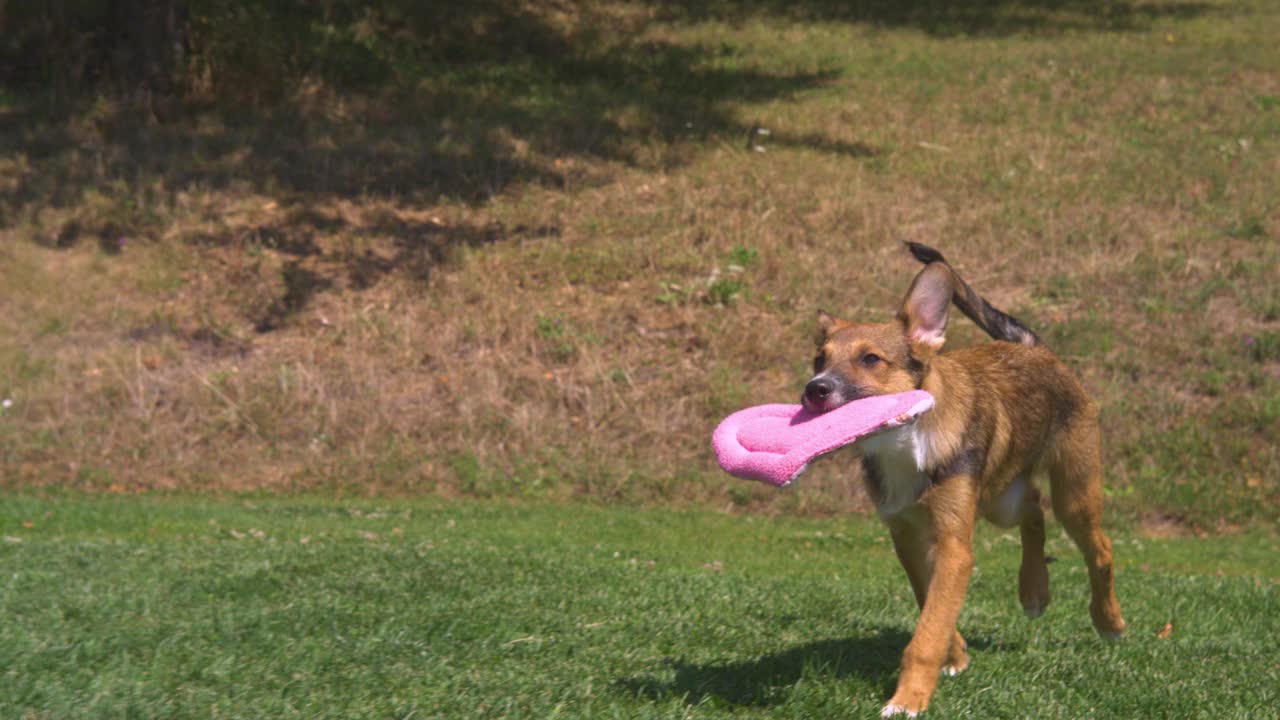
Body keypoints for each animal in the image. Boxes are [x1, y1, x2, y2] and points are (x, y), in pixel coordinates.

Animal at [803, 243, 1126, 712]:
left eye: (870, 359)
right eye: (818, 359)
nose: (814, 389)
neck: (907, 443)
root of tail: (1034, 348)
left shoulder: (954, 545)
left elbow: (929, 628)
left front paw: (908, 700)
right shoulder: (907, 536)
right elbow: (930, 605)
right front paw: (953, 656)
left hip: (1074, 491)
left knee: (1099, 547)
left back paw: (1108, 621)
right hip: (998, 501)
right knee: (1033, 509)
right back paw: (1034, 591)